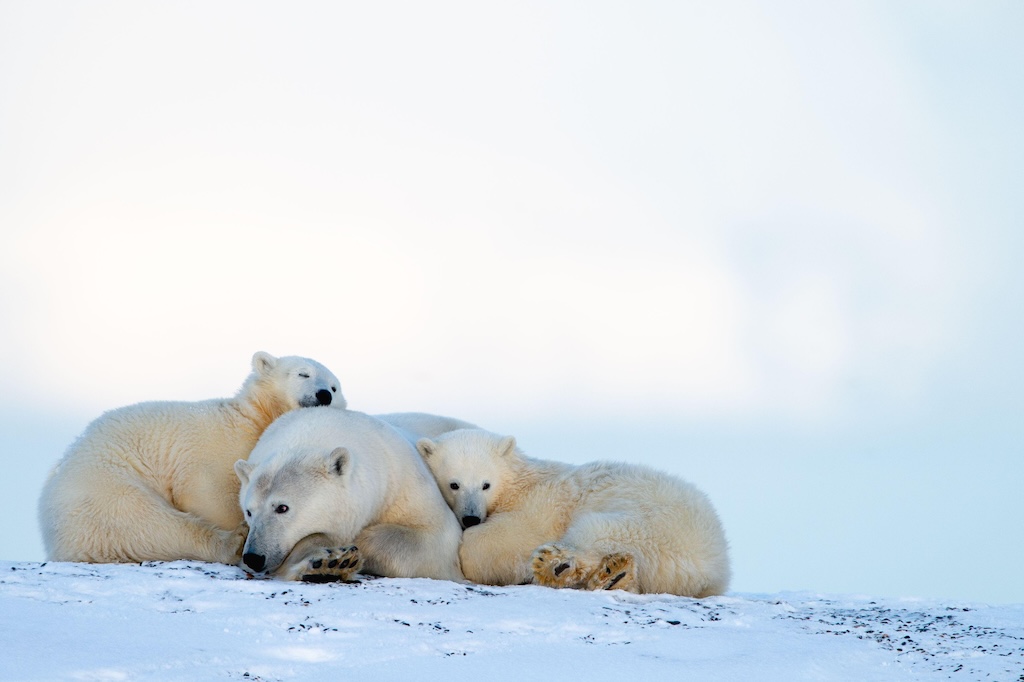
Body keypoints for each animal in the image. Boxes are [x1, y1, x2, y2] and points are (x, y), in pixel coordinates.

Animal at [37, 350, 342, 561]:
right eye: (303, 374)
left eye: (335, 387)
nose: (324, 394)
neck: (256, 420)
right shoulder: (216, 445)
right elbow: (206, 490)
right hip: (105, 490)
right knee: (150, 524)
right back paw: (232, 543)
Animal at [234, 405, 462, 581]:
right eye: (249, 512)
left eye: (282, 507)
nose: (253, 557)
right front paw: (329, 563)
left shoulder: (404, 481)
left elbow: (433, 538)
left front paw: (338, 555)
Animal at [415, 430, 729, 593]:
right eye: (454, 484)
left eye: (485, 484)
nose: (470, 517)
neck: (519, 482)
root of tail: (715, 564)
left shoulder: (539, 504)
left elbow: (505, 539)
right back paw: (616, 576)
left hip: (651, 521)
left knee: (594, 531)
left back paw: (558, 565)